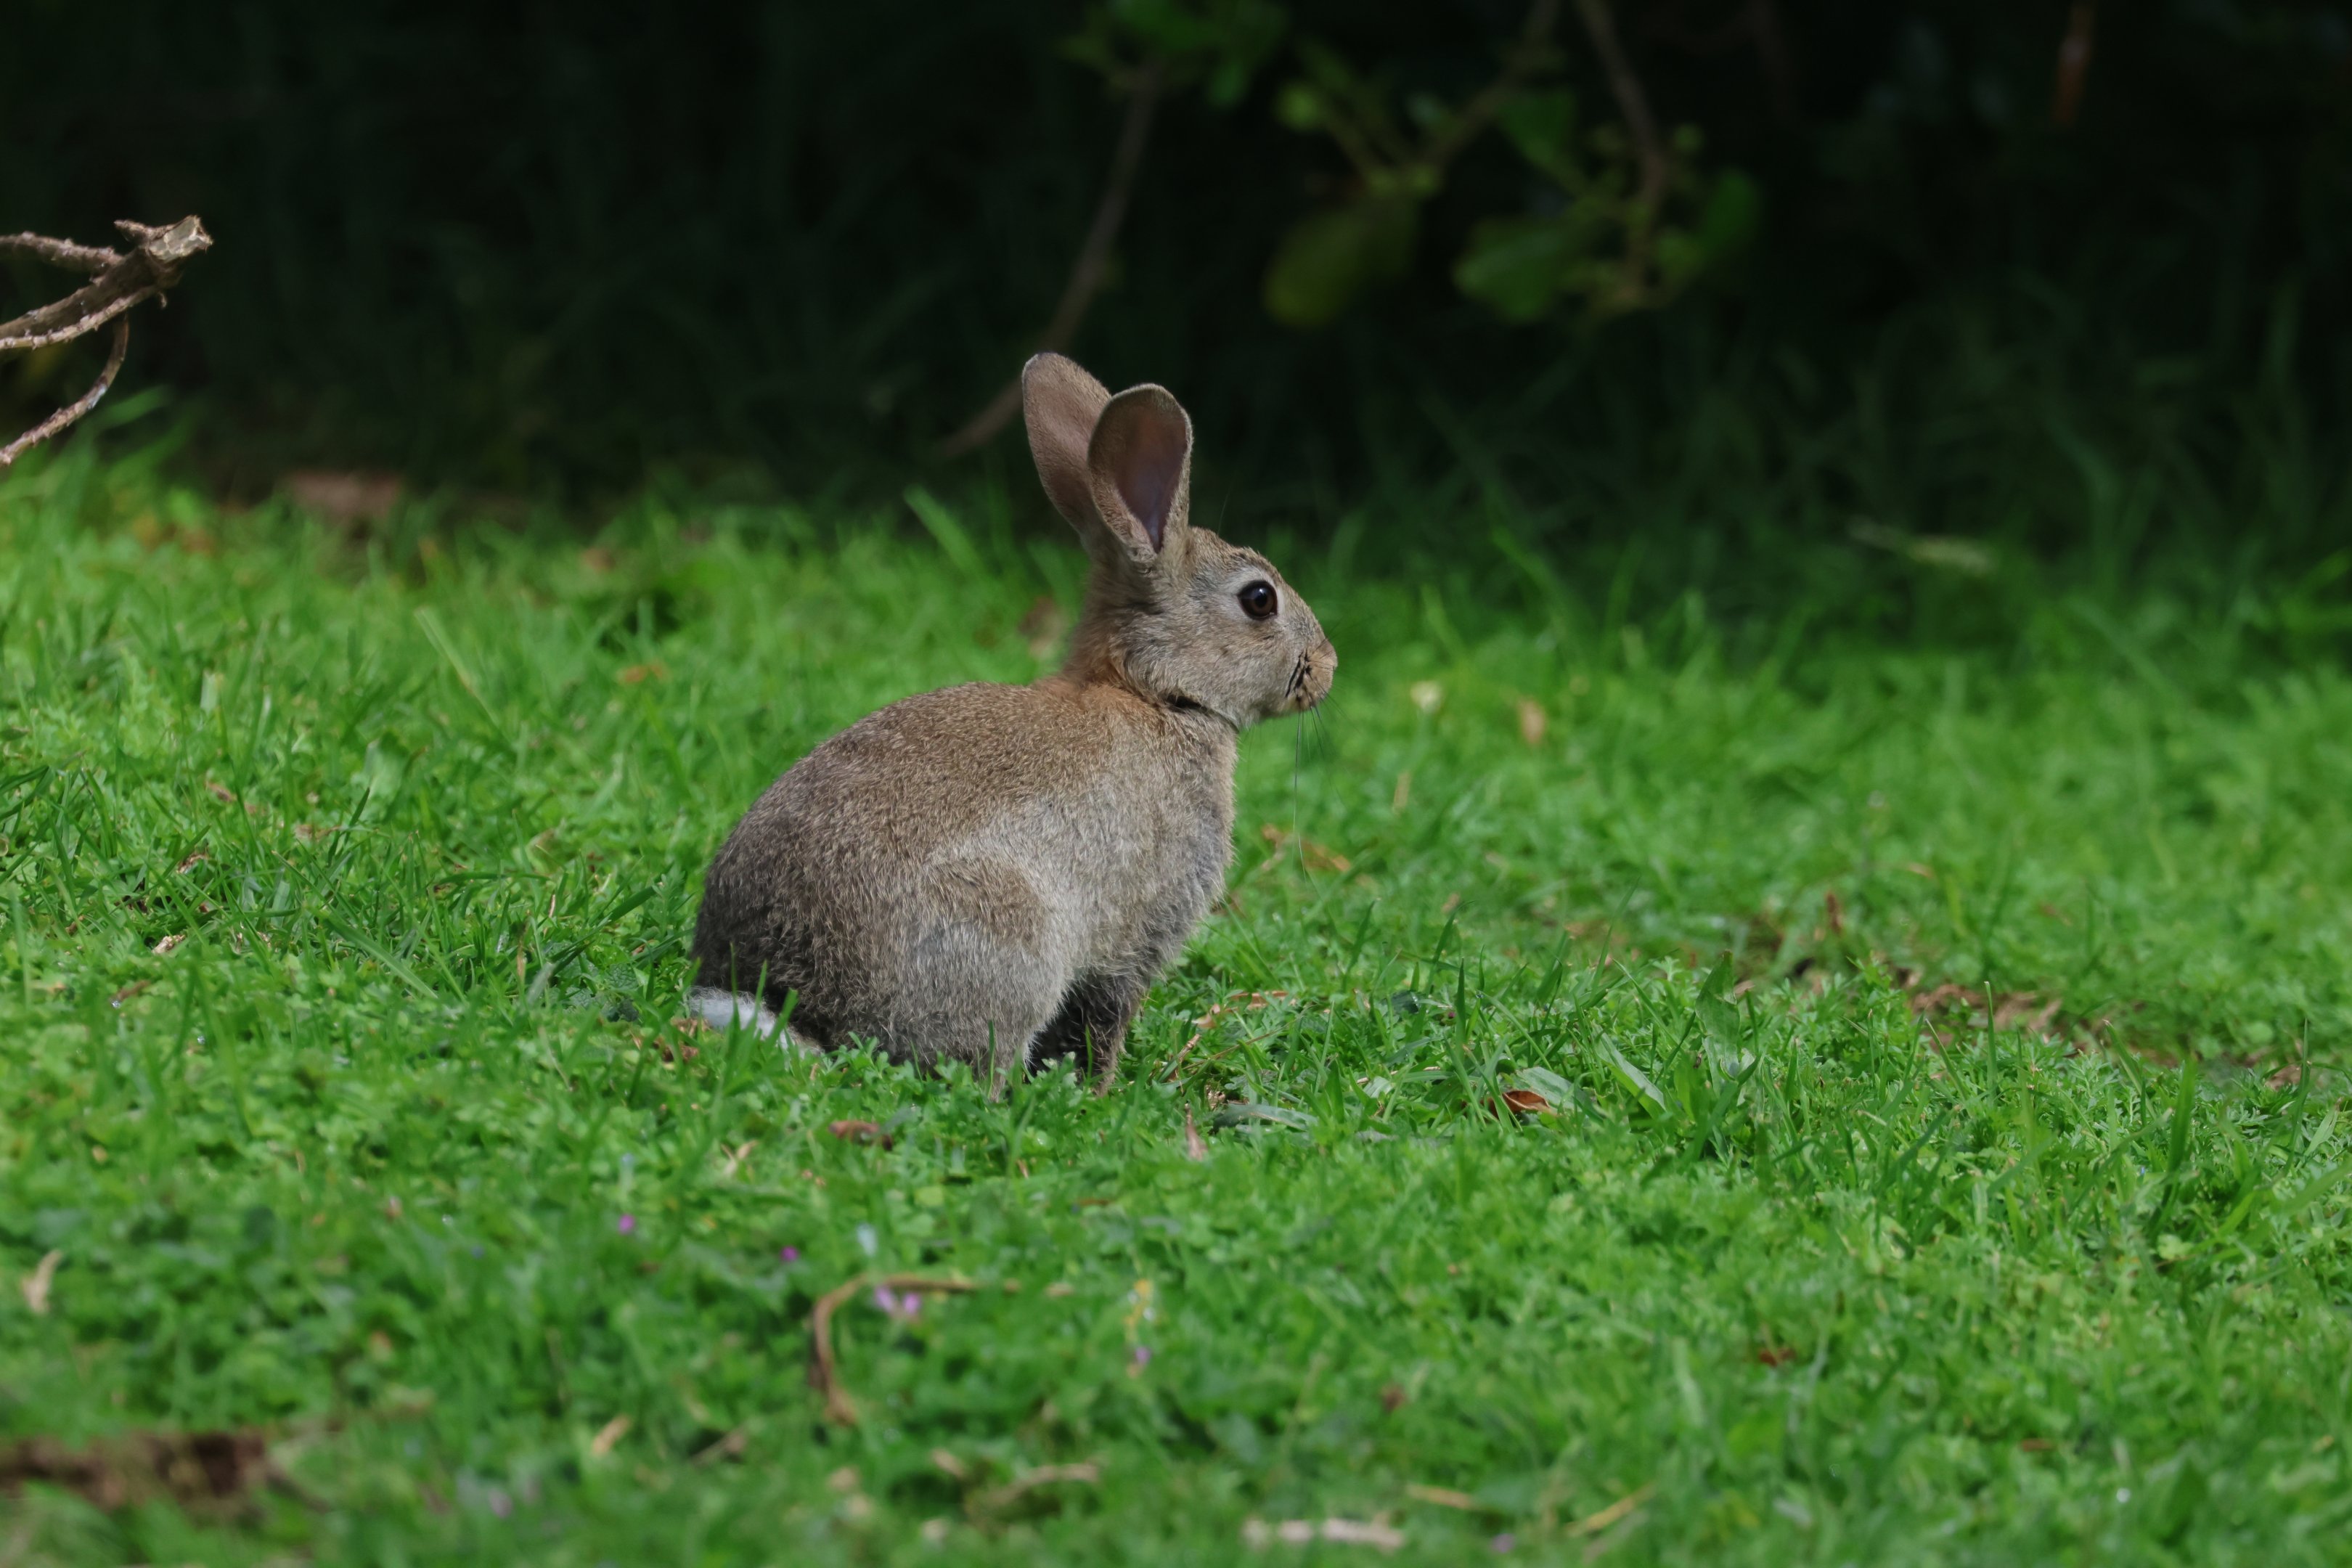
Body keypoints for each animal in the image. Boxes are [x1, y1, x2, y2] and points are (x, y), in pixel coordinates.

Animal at [686, 352, 1336, 1088]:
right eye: (1259, 599)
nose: (1328, 666)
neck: (1157, 694)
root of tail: (797, 998)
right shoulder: (1134, 937)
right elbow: (1103, 1021)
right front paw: (1103, 1093)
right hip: (1010, 939)